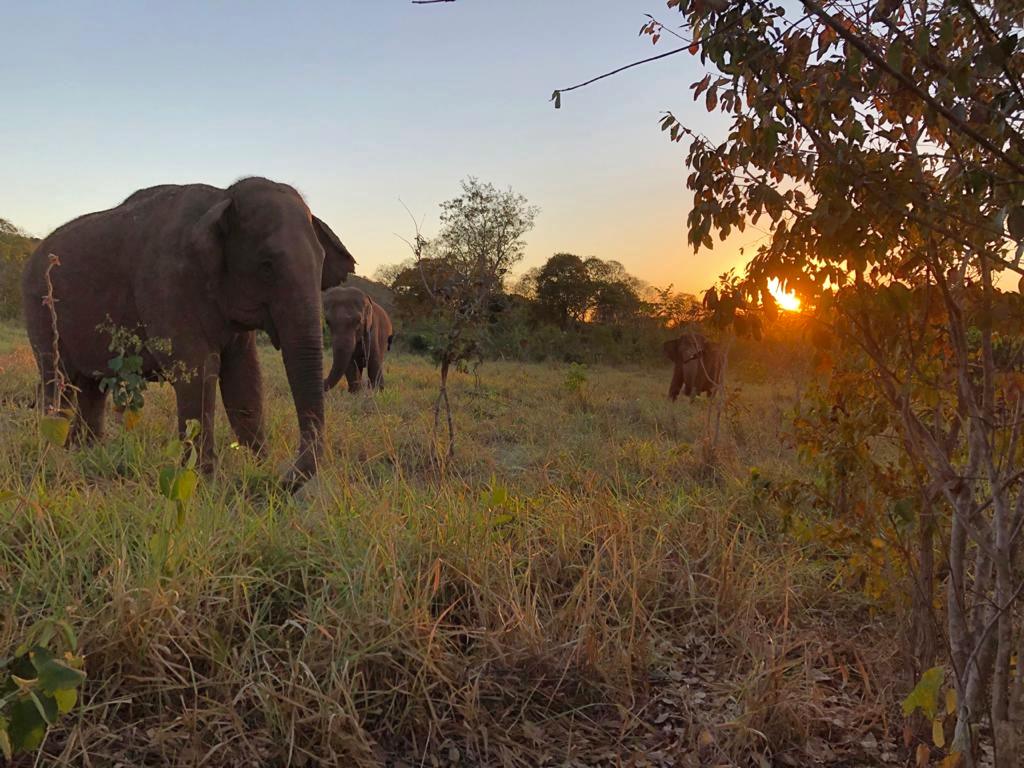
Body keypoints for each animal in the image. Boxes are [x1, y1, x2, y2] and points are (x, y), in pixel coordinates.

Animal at [21, 177, 356, 488]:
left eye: (322, 264)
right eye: (266, 265)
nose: (283, 479)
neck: (223, 196)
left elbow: (244, 378)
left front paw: (256, 468)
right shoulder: (167, 282)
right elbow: (198, 371)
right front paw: (206, 482)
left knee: (92, 386)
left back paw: (86, 453)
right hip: (39, 307)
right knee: (58, 381)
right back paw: (58, 454)